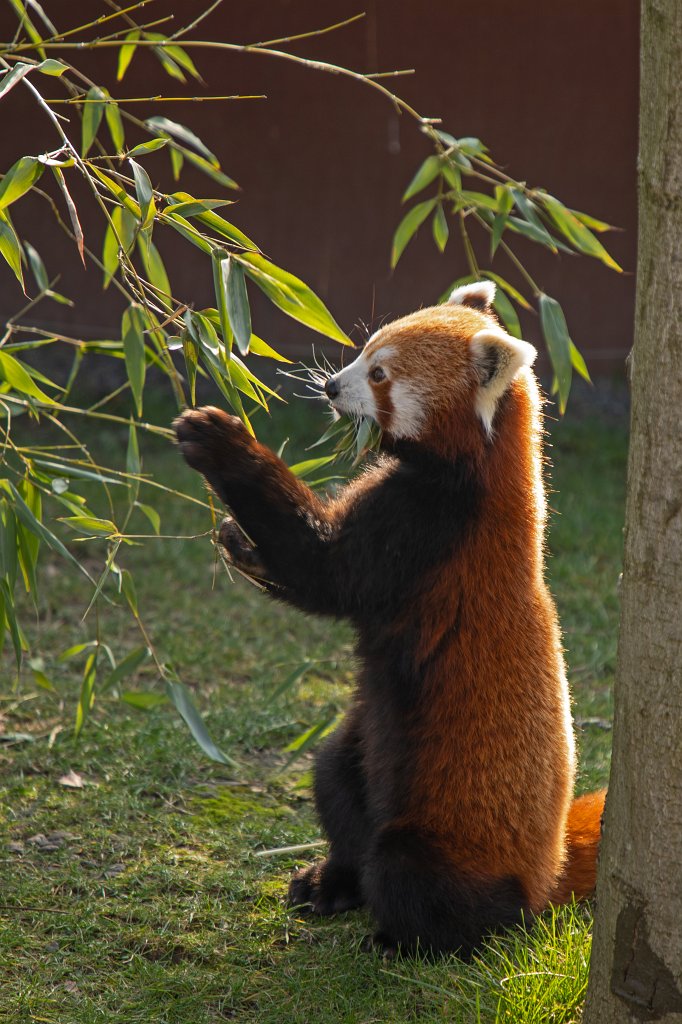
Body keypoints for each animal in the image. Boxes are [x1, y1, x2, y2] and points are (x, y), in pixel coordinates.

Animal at [174, 280, 604, 957]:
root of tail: (550, 867)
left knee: (411, 875)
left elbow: (325, 573)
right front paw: (237, 539)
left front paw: (222, 444)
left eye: (378, 374)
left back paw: (407, 937)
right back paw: (332, 882)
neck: (482, 464)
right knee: (333, 778)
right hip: (361, 747)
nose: (329, 387)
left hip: (446, 834)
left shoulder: (430, 528)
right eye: (363, 351)